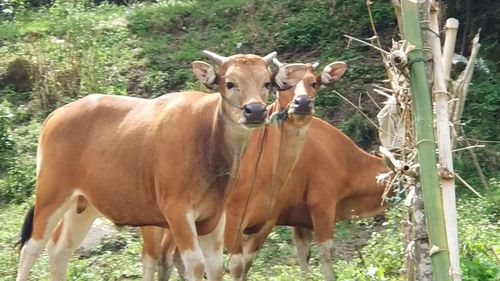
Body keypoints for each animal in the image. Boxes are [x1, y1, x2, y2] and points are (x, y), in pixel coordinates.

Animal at [15, 50, 306, 280]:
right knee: (31, 248)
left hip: (83, 204)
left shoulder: (215, 216)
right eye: (230, 82)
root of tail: (55, 116)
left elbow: (215, 267)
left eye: (266, 83)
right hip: (51, 195)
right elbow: (194, 265)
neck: (208, 141)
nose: (255, 111)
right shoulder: (177, 213)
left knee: (59, 251)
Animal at [139, 59, 350, 280]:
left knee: (170, 256)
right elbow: (236, 265)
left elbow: (247, 263)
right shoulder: (231, 218)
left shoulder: (267, 221)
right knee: (152, 256)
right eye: (284, 86)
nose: (301, 103)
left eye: (314, 83)